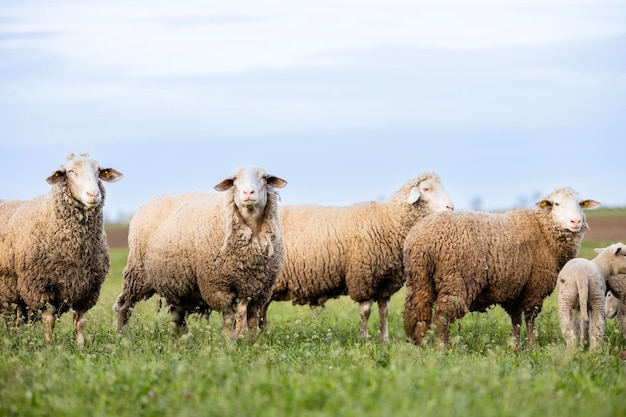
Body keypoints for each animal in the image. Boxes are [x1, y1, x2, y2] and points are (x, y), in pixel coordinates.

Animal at [0, 152, 122, 342]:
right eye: (70, 171)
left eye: (98, 171)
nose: (93, 194)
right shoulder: (42, 287)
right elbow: (49, 321)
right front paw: (49, 345)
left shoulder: (86, 288)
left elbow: (79, 322)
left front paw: (81, 345)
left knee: (15, 320)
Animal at [114, 165, 286, 342]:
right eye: (234, 180)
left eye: (265, 178)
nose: (248, 193)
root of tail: (151, 202)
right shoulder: (218, 287)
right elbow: (229, 319)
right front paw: (228, 343)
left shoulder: (257, 290)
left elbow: (252, 320)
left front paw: (252, 343)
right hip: (137, 274)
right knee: (124, 304)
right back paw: (121, 335)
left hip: (178, 283)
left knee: (178, 313)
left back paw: (180, 339)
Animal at [258, 171, 454, 340]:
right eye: (426, 189)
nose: (450, 207)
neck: (389, 222)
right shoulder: (363, 278)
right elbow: (365, 311)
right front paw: (364, 338)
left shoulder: (385, 282)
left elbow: (384, 312)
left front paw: (385, 339)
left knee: (262, 309)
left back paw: (263, 334)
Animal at [402, 186, 596, 348]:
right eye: (556, 203)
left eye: (580, 204)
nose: (576, 222)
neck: (543, 231)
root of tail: (423, 240)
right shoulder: (534, 287)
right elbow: (530, 319)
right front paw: (531, 346)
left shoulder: (516, 289)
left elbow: (516, 320)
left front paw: (516, 347)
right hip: (456, 280)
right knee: (442, 316)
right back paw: (442, 348)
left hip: (419, 278)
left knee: (416, 312)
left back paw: (420, 344)